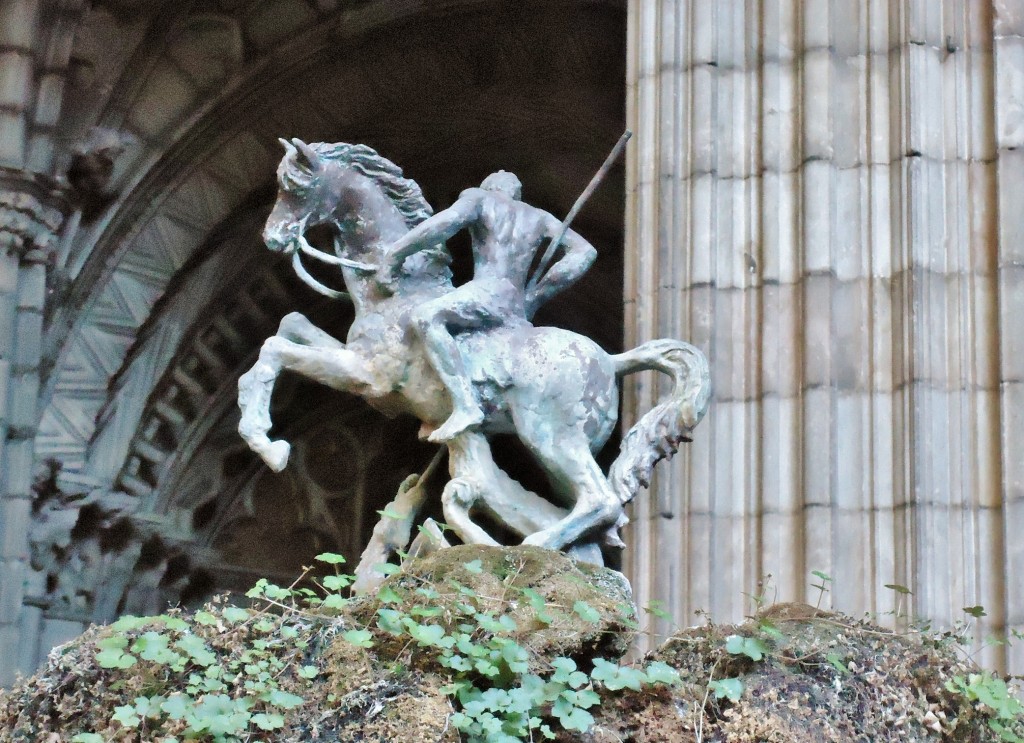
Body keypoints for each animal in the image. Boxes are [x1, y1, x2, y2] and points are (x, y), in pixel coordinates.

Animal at [235, 138, 708, 569]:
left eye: (293, 188)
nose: (272, 238)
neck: (398, 294)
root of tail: (611, 360)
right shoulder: (360, 371)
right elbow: (289, 324)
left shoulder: (367, 377)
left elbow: (275, 349)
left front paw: (267, 443)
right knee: (592, 521)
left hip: (549, 436)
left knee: (600, 500)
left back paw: (532, 546)